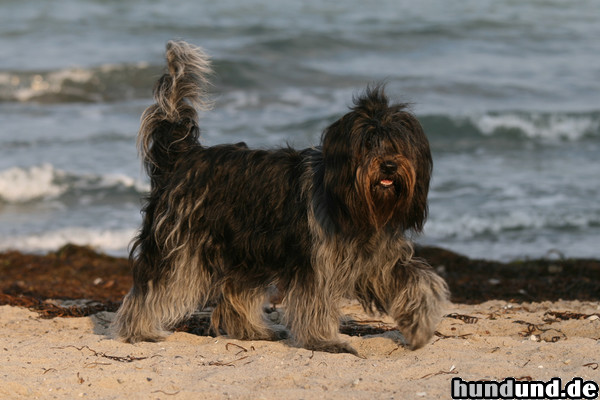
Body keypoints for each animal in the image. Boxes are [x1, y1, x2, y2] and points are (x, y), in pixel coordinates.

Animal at [113, 39, 450, 354]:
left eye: (398, 144)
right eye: (367, 143)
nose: (389, 165)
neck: (352, 203)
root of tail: (183, 155)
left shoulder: (380, 259)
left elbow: (420, 282)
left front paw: (420, 327)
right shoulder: (318, 263)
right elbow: (316, 303)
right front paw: (325, 341)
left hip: (245, 250)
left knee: (236, 292)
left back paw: (254, 331)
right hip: (181, 244)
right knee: (155, 286)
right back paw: (140, 331)